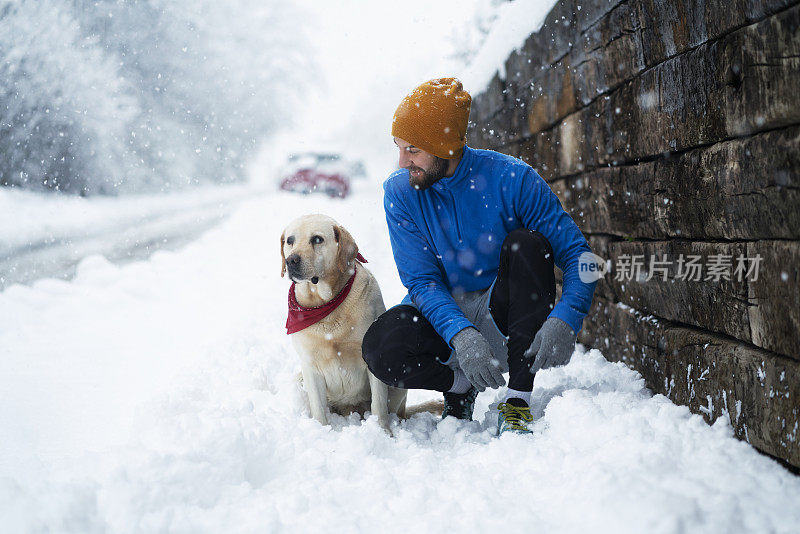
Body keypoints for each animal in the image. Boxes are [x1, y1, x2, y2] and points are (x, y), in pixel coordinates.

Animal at [282, 216, 406, 430]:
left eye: (317, 239)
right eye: (290, 240)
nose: (291, 260)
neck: (325, 307)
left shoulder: (372, 358)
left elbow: (378, 405)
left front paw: (382, 431)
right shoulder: (310, 366)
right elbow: (318, 409)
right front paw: (321, 431)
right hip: (299, 378)